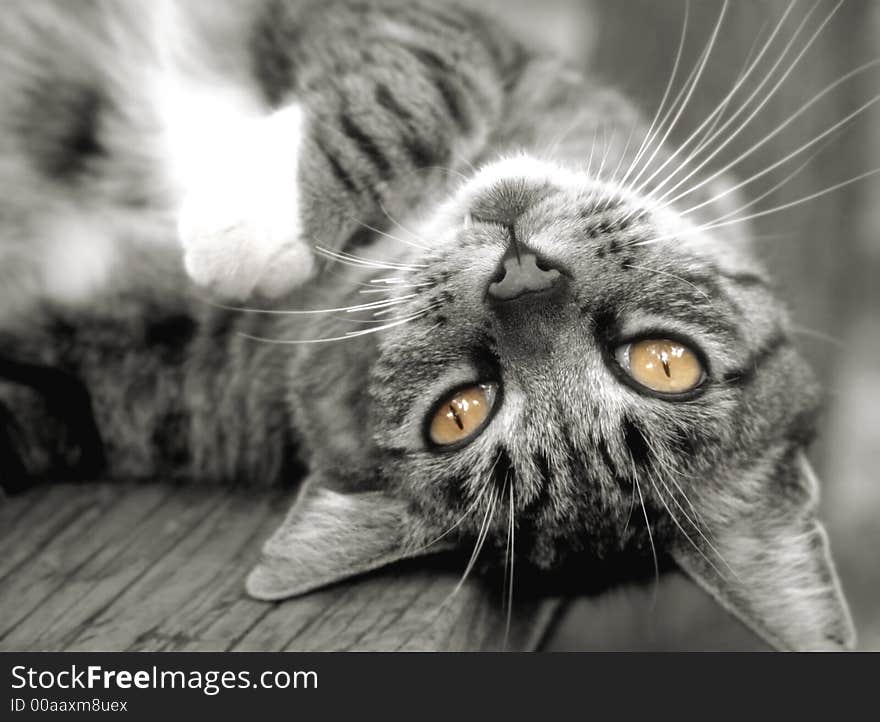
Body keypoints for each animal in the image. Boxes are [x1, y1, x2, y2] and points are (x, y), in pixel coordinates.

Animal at [0, 0, 856, 648]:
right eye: (666, 363)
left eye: (459, 413)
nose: (521, 274)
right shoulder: (464, 37)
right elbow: (419, 80)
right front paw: (260, 215)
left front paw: (241, 232)